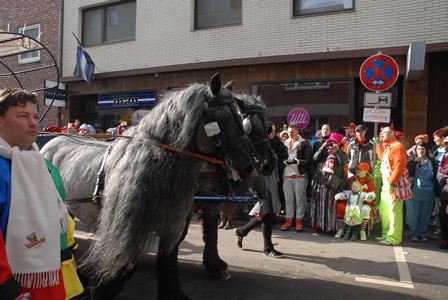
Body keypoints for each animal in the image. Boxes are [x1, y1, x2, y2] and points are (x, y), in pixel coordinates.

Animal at [40, 74, 258, 298]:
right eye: (226, 118)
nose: (250, 166)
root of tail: (51, 142)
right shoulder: (130, 225)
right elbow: (125, 264)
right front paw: (101, 288)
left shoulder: (175, 222)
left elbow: (168, 258)